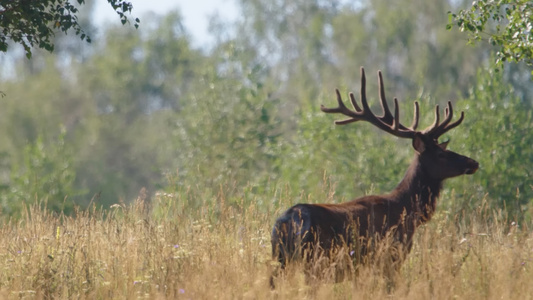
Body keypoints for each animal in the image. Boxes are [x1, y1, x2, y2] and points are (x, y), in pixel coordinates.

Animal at [270, 67, 478, 288]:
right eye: (440, 154)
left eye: (444, 148)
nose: (473, 162)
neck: (407, 210)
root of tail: (286, 221)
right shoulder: (390, 255)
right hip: (314, 259)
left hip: (280, 257)